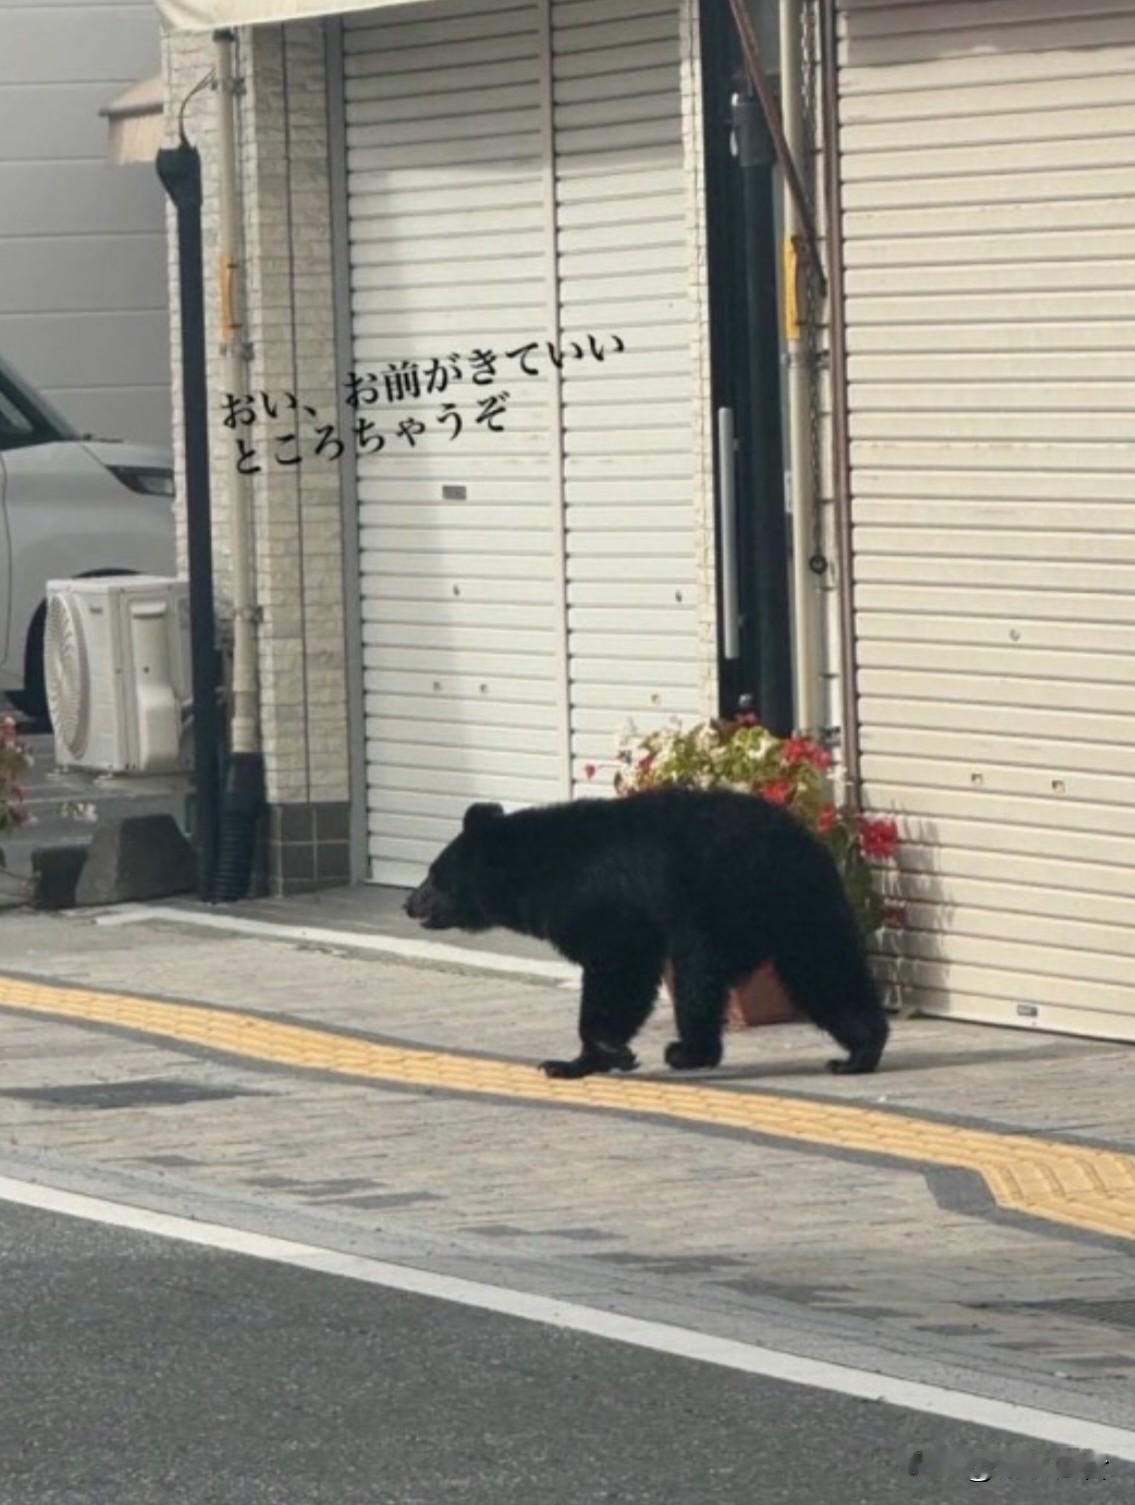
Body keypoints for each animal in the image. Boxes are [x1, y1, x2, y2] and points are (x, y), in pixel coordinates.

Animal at [404, 786, 889, 1080]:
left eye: (434, 875)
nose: (409, 903)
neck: (536, 875)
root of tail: (797, 843)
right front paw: (585, 1058)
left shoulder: (601, 904)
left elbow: (618, 970)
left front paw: (592, 1054)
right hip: (803, 907)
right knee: (823, 969)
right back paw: (860, 1050)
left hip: (720, 904)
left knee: (699, 975)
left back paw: (688, 1051)